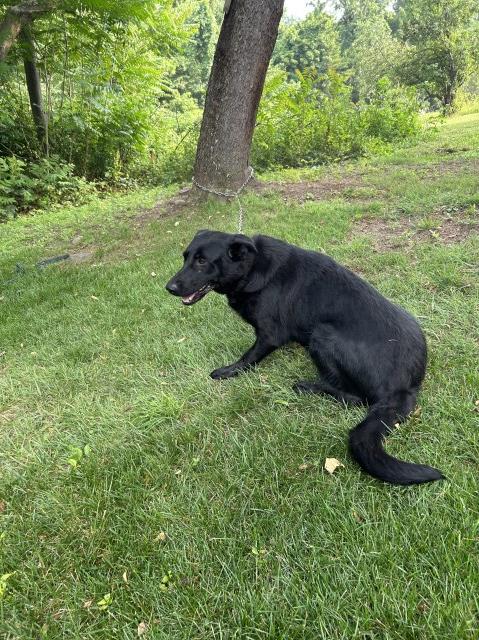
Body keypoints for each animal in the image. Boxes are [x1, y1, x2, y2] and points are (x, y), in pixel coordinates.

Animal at [167, 230, 444, 484]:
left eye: (202, 261)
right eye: (185, 257)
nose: (168, 287)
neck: (253, 266)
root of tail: (405, 388)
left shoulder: (269, 335)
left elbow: (248, 357)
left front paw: (228, 371)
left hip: (321, 335)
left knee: (354, 398)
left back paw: (309, 387)